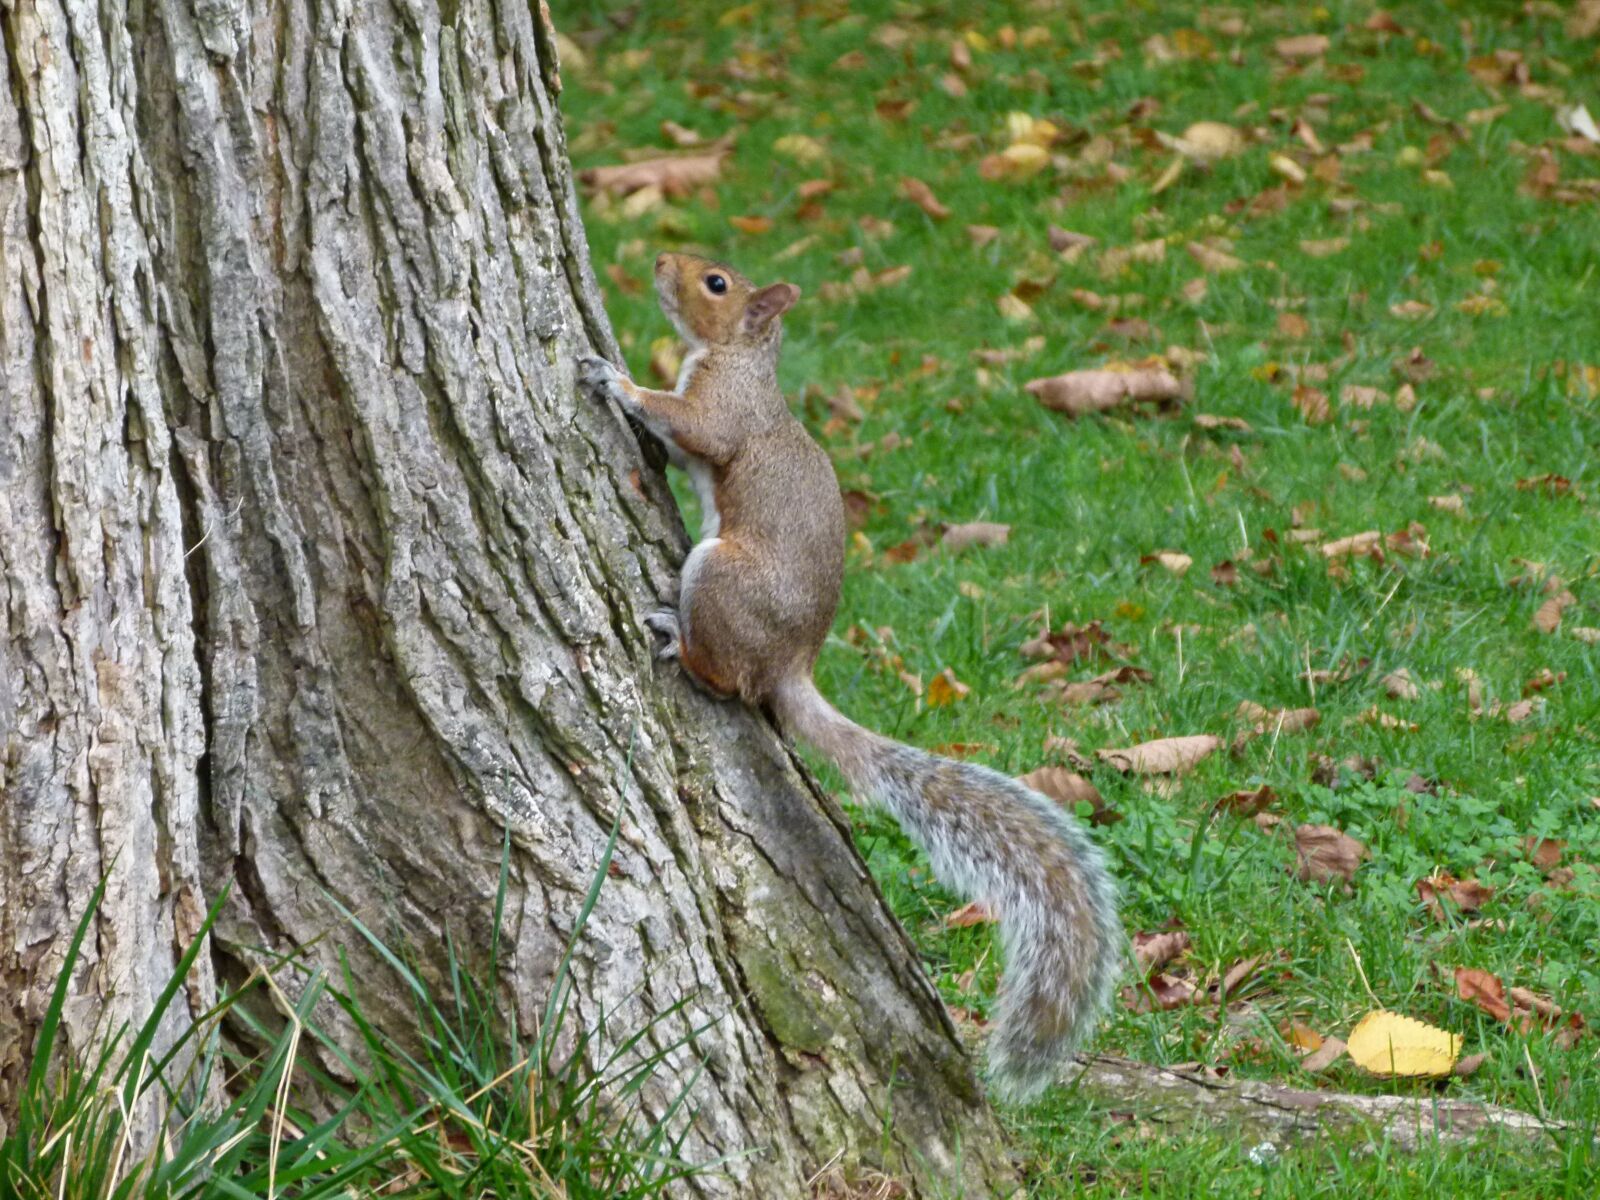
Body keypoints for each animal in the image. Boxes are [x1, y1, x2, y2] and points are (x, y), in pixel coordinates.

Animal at [579, 259, 1126, 1107]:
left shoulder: (723, 409)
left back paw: (679, 640)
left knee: (729, 682)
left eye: (716, 282)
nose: (664, 265)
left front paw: (616, 379)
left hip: (719, 579)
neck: (745, 357)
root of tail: (789, 666)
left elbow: (689, 423)